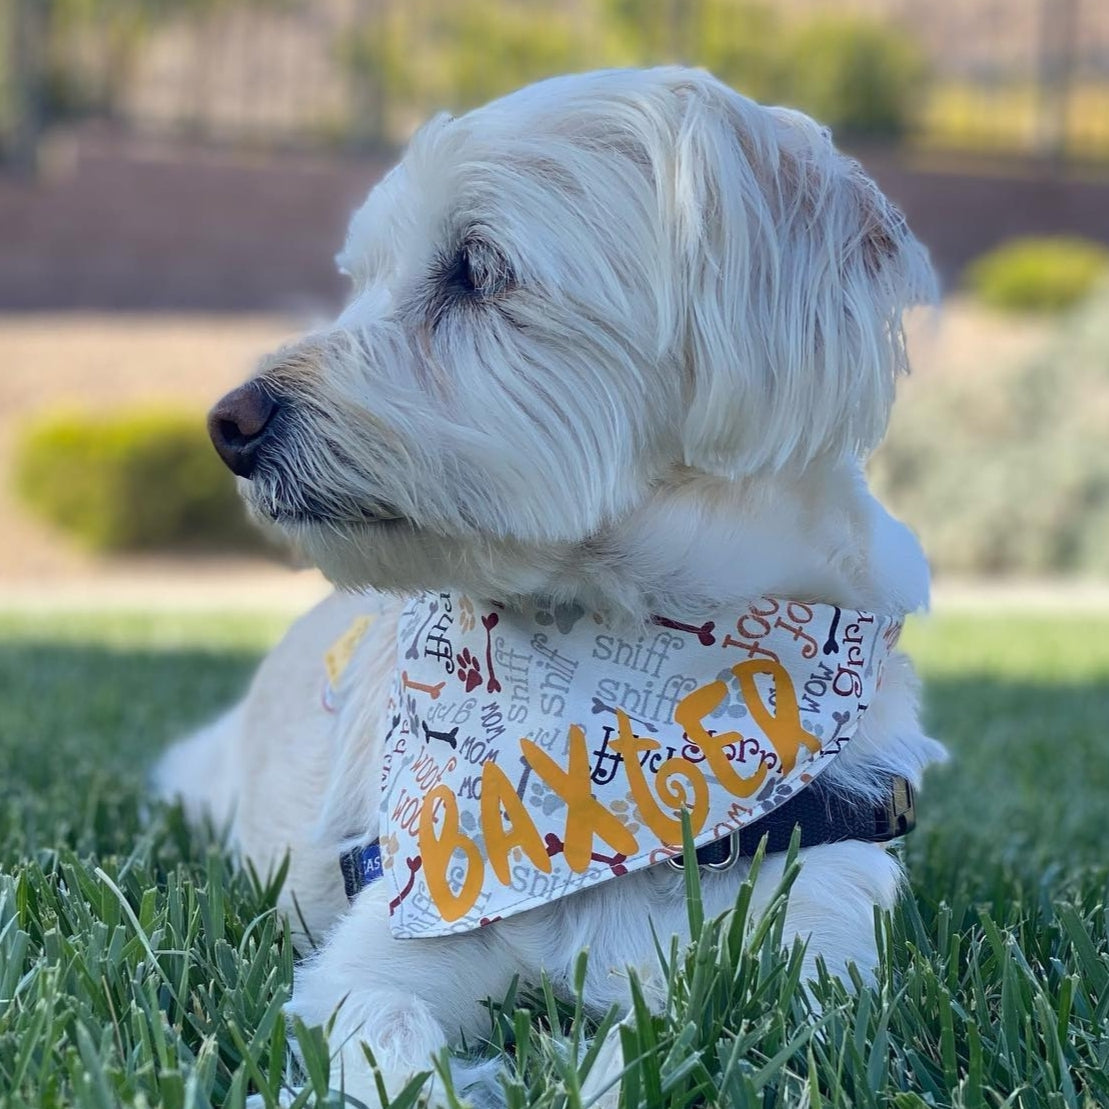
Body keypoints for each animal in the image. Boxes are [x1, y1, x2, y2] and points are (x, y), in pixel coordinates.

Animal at [154, 69, 944, 1109]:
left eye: (475, 269)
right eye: (360, 278)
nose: (228, 423)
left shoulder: (808, 961)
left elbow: (697, 1051)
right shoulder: (390, 938)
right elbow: (386, 1036)